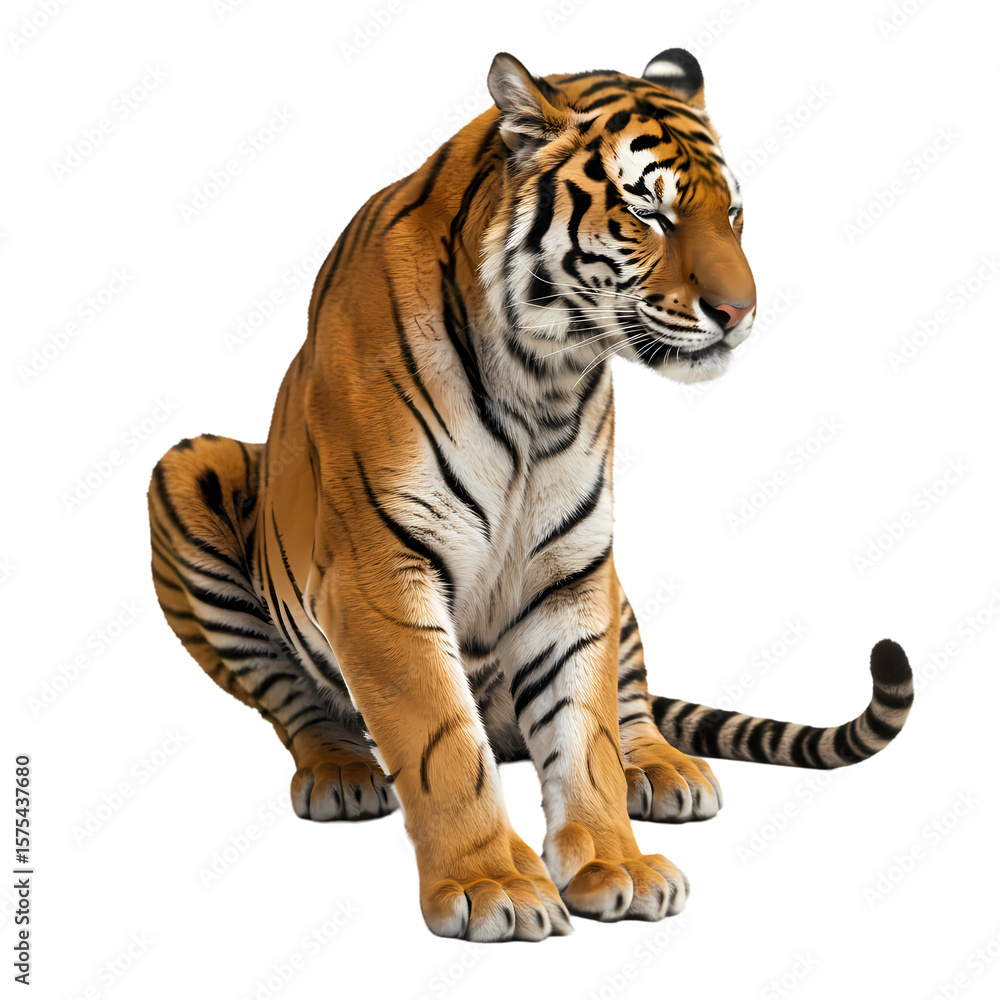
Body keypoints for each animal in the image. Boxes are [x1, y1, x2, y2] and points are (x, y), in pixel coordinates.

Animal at [147, 48, 914, 942]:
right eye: (649, 211)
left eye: (733, 215)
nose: (741, 312)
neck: (544, 375)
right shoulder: (382, 575)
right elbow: (442, 741)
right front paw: (493, 886)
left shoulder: (572, 566)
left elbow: (585, 730)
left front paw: (615, 863)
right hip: (189, 472)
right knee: (295, 702)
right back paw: (341, 771)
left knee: (630, 705)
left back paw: (661, 767)